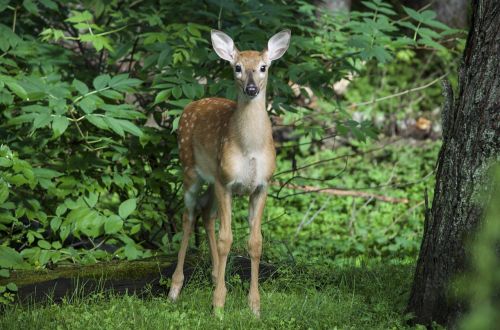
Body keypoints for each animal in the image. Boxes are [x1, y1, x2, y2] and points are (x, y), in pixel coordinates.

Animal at [168, 29, 292, 318]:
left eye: (263, 67)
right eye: (237, 67)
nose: (251, 88)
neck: (250, 149)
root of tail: (190, 105)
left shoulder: (261, 185)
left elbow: (255, 243)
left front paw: (254, 306)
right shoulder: (226, 182)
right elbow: (227, 240)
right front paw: (218, 305)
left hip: (213, 179)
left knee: (206, 212)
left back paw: (215, 275)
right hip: (190, 169)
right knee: (188, 216)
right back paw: (175, 289)